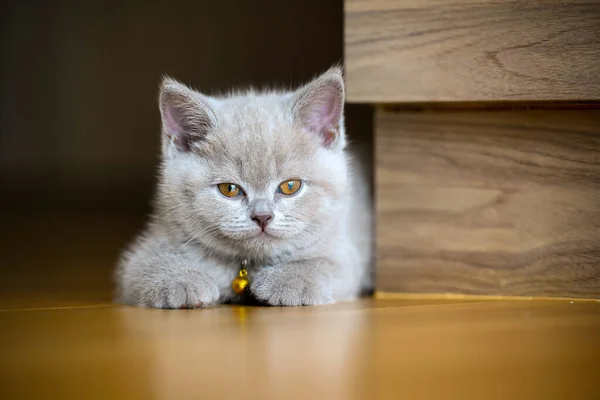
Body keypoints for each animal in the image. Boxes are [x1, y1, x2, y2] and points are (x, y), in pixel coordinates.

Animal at [115, 67, 372, 308]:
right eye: (229, 189)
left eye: (291, 186)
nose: (262, 216)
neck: (247, 264)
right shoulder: (144, 251)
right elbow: (149, 264)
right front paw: (182, 282)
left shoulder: (343, 251)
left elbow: (321, 264)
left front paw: (286, 281)